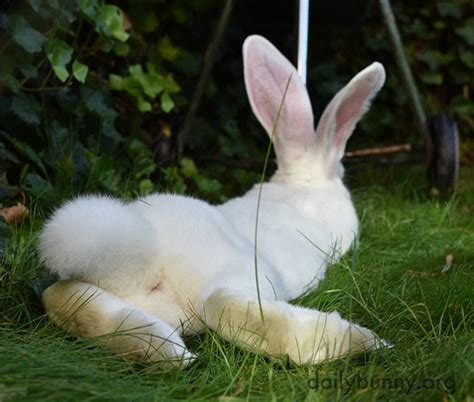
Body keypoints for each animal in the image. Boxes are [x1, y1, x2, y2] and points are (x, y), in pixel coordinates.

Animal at [40, 34, 386, 368]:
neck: (302, 179)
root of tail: (141, 263)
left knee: (58, 295)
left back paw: (158, 350)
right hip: (245, 273)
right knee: (223, 304)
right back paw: (358, 341)